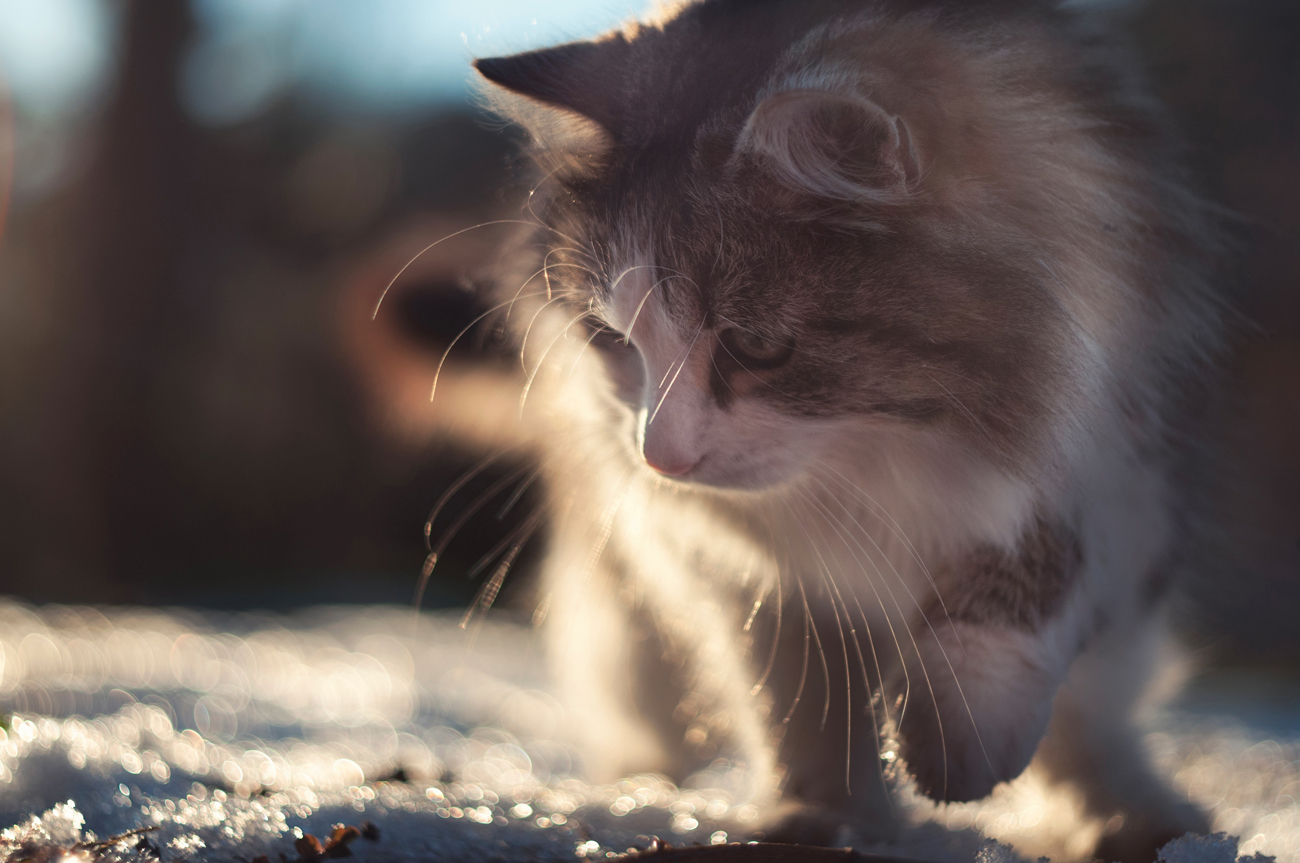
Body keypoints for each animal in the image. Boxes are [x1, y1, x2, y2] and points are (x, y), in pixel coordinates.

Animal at [470, 3, 1227, 857]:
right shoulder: (747, 571)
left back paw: (1130, 813)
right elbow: (800, 704)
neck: (879, 456)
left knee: (1092, 715)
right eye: (613, 341)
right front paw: (824, 818)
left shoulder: (1110, 448)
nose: (661, 457)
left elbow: (1027, 584)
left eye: (757, 346)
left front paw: (956, 737)